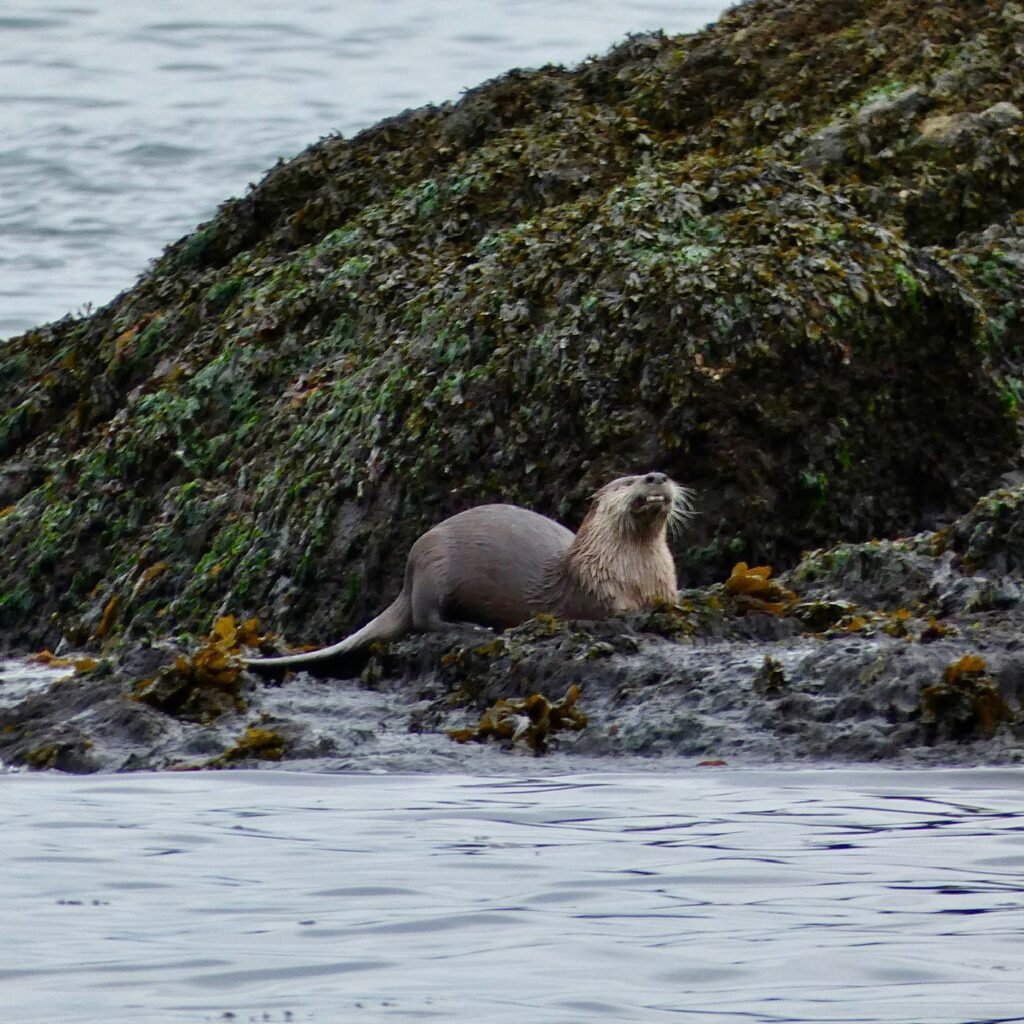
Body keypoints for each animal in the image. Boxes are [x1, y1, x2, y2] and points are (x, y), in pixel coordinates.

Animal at [244, 472, 693, 669]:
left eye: (654, 473)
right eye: (627, 482)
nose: (656, 475)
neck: (633, 574)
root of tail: (408, 574)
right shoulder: (600, 595)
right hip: (435, 567)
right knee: (424, 619)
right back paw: (473, 628)